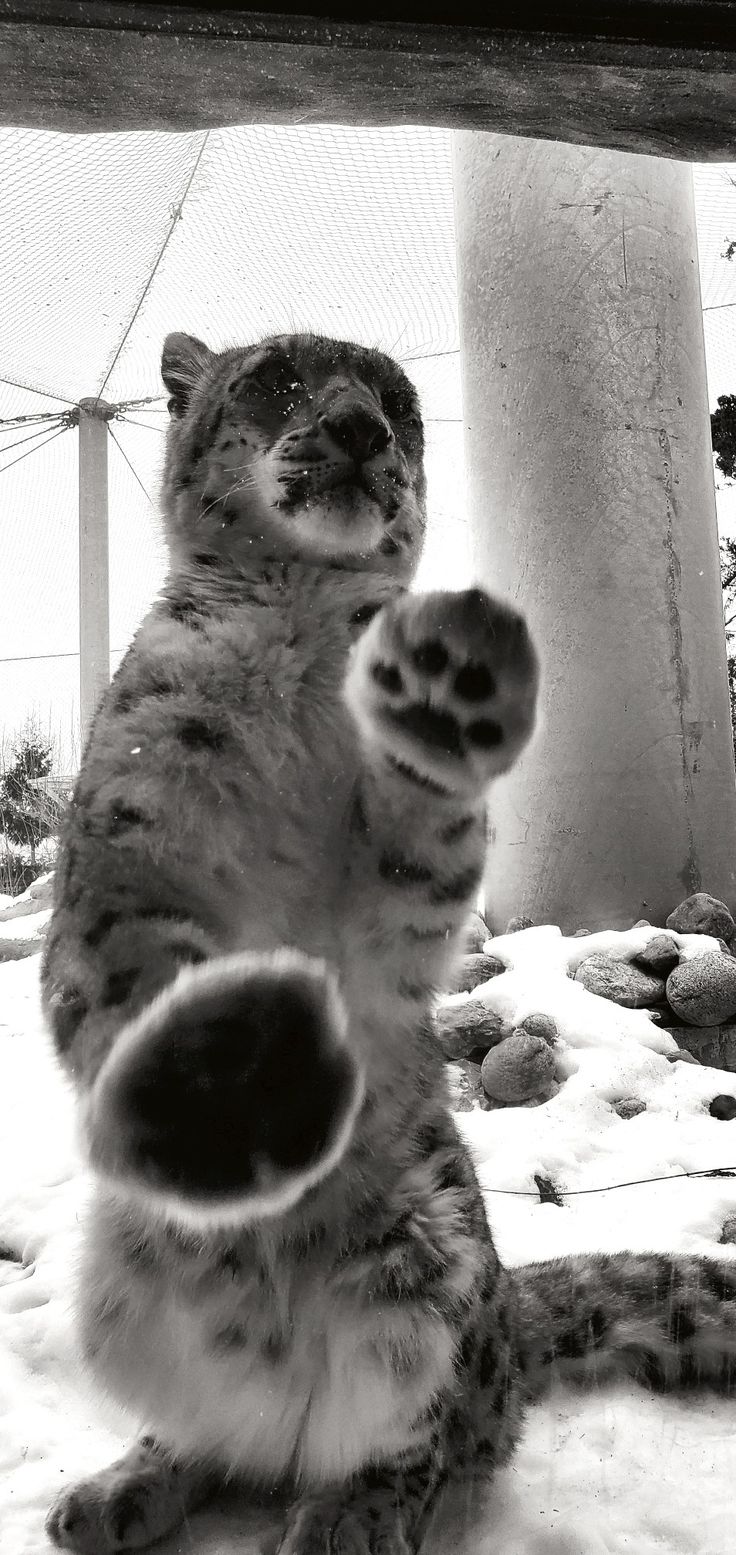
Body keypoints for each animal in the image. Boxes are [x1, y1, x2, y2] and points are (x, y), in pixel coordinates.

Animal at [41, 331, 734, 1555]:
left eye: (396, 400)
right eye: (278, 380)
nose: (360, 427)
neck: (297, 633)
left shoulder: (399, 911)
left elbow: (409, 874)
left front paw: (438, 692)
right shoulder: (124, 855)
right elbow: (137, 974)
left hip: (430, 1262)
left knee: (428, 1432)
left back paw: (345, 1513)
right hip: (130, 1276)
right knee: (209, 1428)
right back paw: (121, 1486)